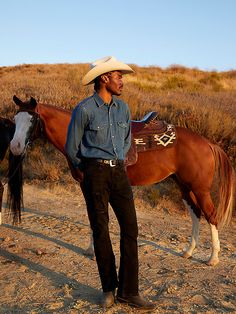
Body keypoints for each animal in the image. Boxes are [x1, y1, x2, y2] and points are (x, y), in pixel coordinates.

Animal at [9, 95, 234, 264]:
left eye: (32, 120)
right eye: (15, 119)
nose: (15, 147)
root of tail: (208, 142)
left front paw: (94, 251)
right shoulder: (87, 185)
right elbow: (93, 217)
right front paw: (91, 249)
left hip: (199, 188)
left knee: (210, 215)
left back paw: (213, 258)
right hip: (184, 186)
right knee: (196, 213)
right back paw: (188, 251)